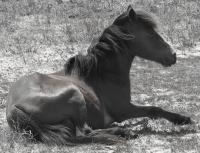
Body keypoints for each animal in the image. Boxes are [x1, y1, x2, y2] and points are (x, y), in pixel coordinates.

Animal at [5, 5, 191, 145]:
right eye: (150, 33)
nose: (173, 55)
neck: (102, 74)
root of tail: (13, 107)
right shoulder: (124, 109)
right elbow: (154, 109)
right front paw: (183, 119)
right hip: (76, 95)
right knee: (85, 132)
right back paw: (124, 131)